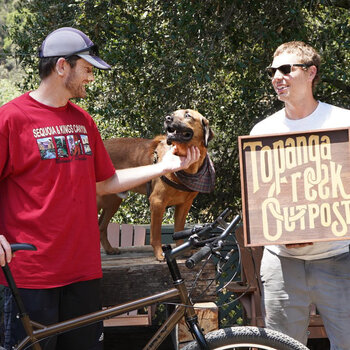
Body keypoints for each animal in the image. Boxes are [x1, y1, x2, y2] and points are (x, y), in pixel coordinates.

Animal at [97, 109, 215, 260]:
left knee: (101, 226)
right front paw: (160, 253)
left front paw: (183, 249)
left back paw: (109, 249)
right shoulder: (157, 202)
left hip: (113, 201)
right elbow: (156, 233)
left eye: (188, 115)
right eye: (174, 113)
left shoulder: (184, 204)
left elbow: (179, 229)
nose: (167, 118)